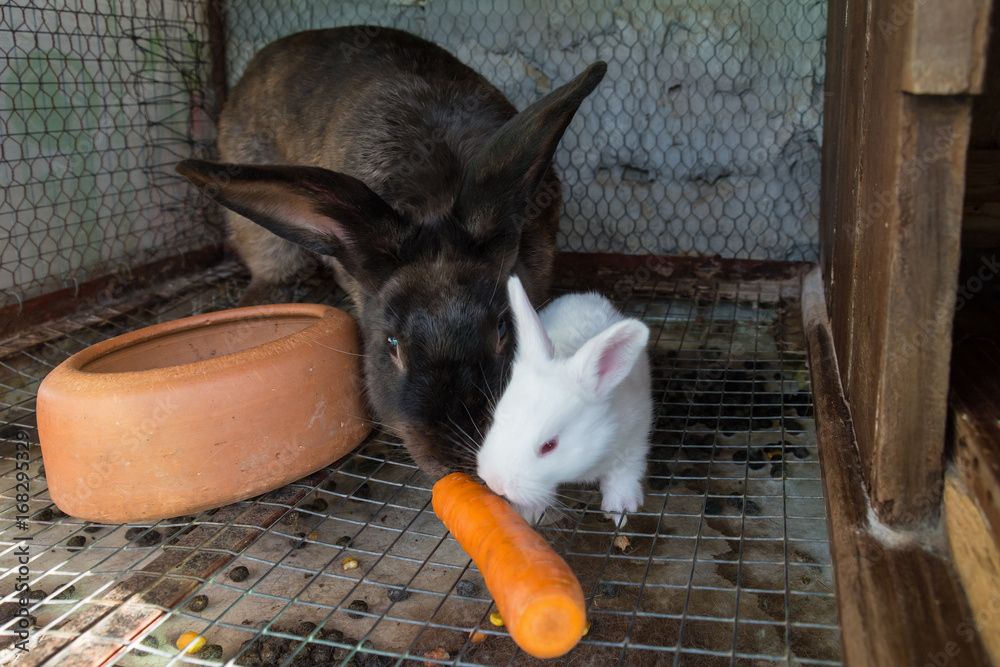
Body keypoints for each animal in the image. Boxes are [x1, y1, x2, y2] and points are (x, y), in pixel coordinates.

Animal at [476, 275, 653, 526]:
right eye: (496, 419)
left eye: (549, 446)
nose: (496, 483)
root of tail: (583, 296)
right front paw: (529, 511)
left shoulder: (634, 439)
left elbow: (623, 473)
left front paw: (620, 508)